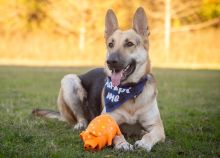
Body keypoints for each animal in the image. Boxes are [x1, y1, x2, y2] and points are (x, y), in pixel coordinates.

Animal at [32, 7, 165, 152]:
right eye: (111, 44)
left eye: (129, 44)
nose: (110, 61)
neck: (130, 91)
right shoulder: (111, 120)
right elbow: (116, 133)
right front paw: (122, 143)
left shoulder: (158, 127)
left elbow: (150, 135)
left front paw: (144, 143)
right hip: (69, 80)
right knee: (81, 118)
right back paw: (81, 124)